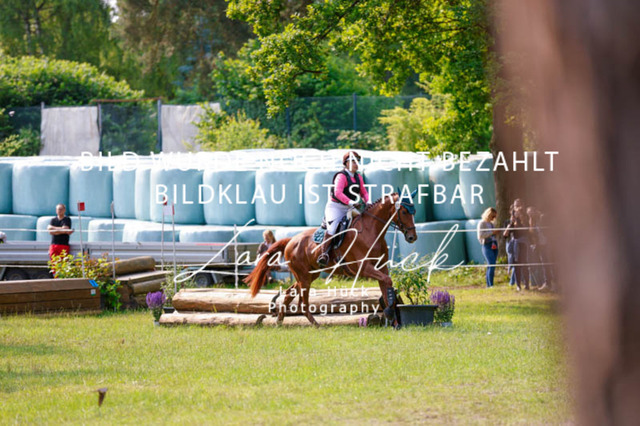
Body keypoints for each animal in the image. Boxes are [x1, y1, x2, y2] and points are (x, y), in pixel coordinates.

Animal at [244, 191, 418, 326]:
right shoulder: (364, 268)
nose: (412, 237)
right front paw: (389, 313)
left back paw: (279, 322)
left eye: (414, 212)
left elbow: (386, 286)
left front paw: (394, 321)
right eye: (404, 212)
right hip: (304, 277)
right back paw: (316, 325)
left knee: (289, 294)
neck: (372, 231)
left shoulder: (381, 267)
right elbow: (387, 282)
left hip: (309, 275)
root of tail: (291, 240)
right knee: (303, 303)